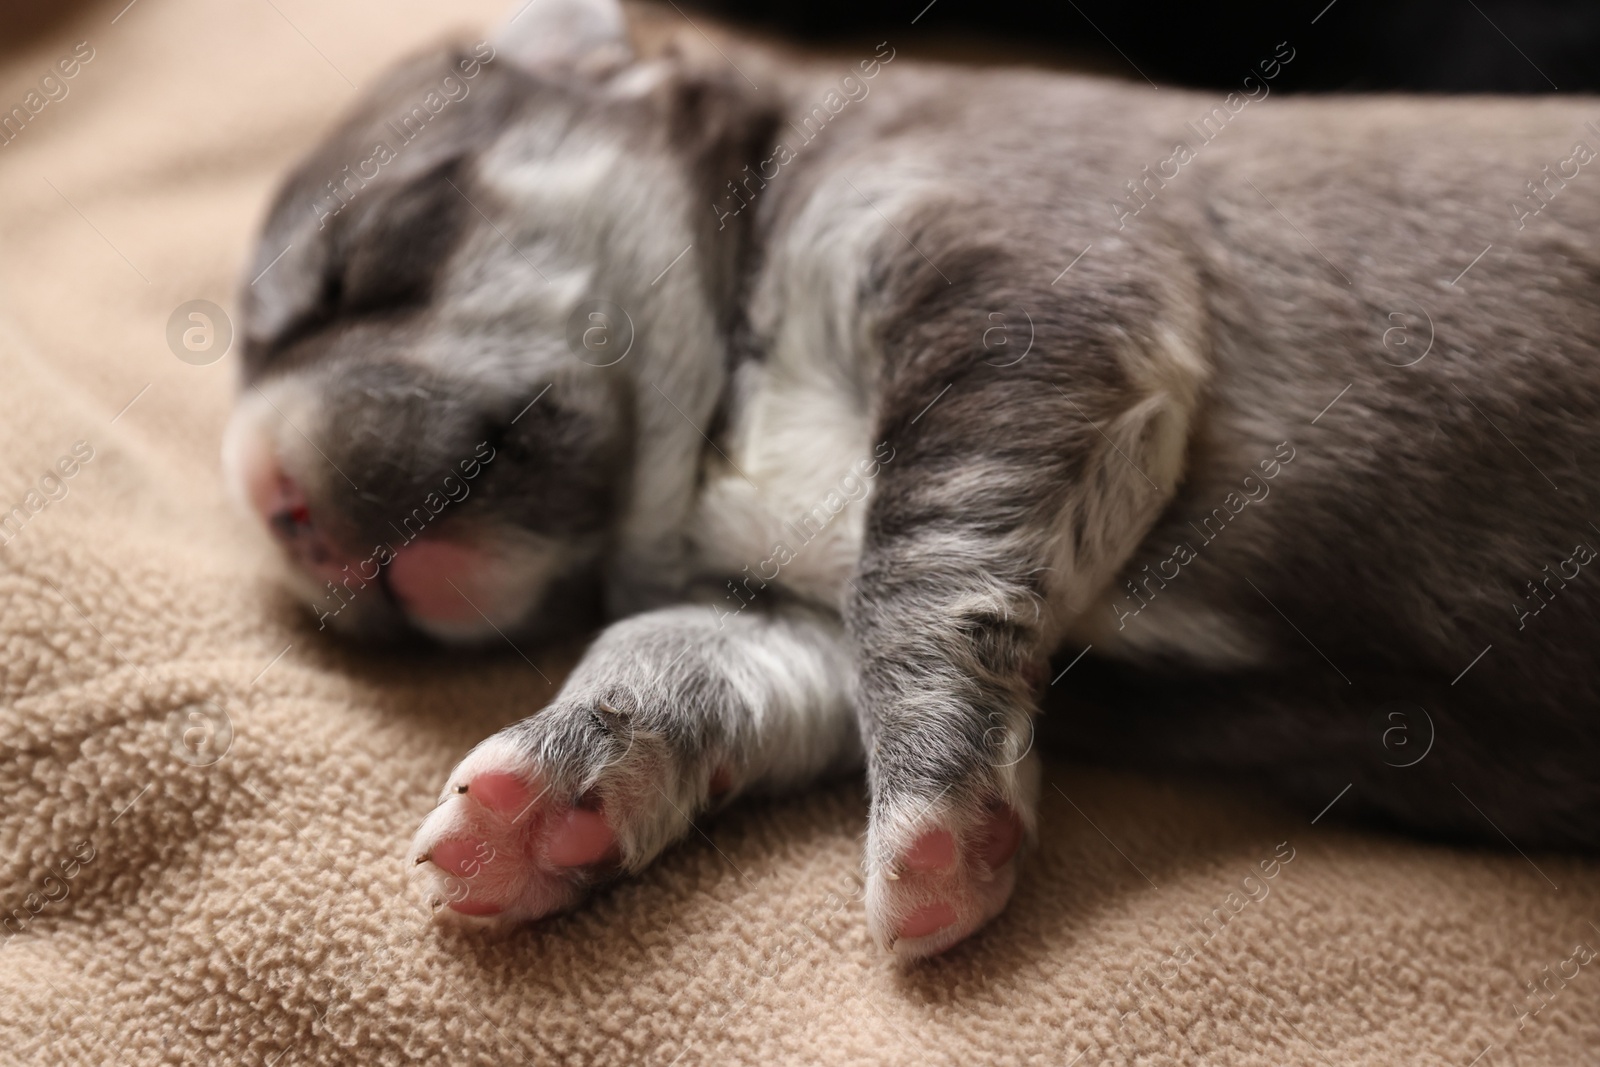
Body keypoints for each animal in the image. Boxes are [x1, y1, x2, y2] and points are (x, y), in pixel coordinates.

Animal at [222, 0, 1600, 959]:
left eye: (356, 267)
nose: (273, 507)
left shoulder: (1029, 284)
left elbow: (921, 558)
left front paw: (938, 825)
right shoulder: (781, 616)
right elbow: (672, 650)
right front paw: (542, 798)